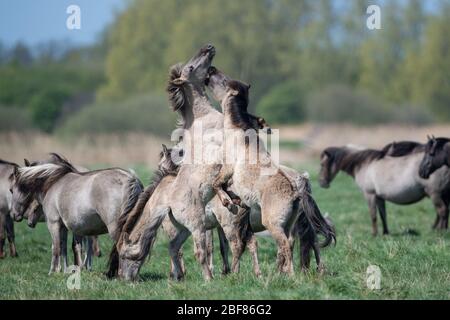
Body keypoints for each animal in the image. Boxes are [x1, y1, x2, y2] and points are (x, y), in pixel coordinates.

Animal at [9, 154, 142, 274]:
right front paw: (67, 270)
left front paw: (53, 271)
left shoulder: (54, 223)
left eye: (11, 190)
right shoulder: (67, 227)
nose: (14, 215)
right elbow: (66, 248)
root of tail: (131, 180)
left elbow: (55, 248)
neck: (53, 182)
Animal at [207, 70, 334, 276]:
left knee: (285, 246)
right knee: (292, 243)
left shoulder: (227, 168)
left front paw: (227, 200)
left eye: (224, 81)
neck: (238, 131)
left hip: (273, 224)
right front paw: (235, 200)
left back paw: (290, 275)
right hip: (289, 224)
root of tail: (296, 192)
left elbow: (217, 184)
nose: (210, 71)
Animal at [318, 141, 450, 234]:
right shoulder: (379, 197)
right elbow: (383, 215)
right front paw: (385, 233)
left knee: (442, 211)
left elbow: (373, 215)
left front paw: (374, 234)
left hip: (435, 194)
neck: (365, 163)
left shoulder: (369, 194)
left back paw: (440, 232)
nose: (322, 183)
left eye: (322, 164)